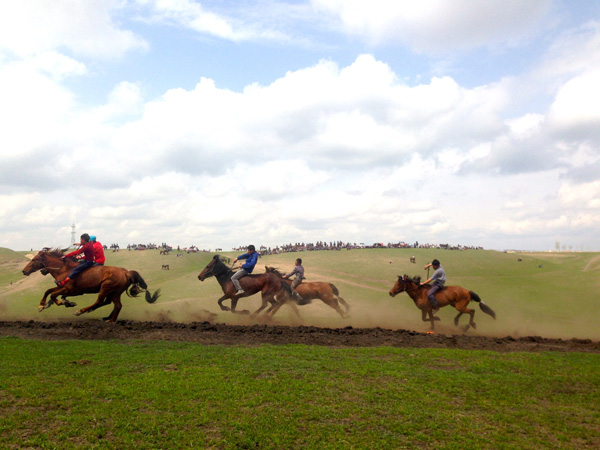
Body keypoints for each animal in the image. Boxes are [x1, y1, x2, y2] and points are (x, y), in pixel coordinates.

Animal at [23, 250, 161, 320]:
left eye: (33, 259)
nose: (24, 271)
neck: (64, 269)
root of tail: (126, 272)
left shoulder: (70, 290)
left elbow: (53, 294)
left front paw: (65, 303)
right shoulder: (62, 287)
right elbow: (48, 291)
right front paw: (42, 305)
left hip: (106, 288)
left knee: (100, 302)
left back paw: (81, 311)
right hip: (115, 292)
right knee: (116, 305)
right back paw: (109, 320)